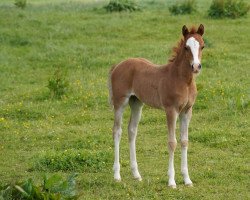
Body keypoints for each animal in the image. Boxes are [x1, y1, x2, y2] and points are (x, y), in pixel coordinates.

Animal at [109, 24, 205, 188]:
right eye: (186, 47)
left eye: (202, 46)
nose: (196, 66)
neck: (182, 80)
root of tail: (118, 65)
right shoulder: (171, 110)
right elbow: (172, 142)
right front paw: (171, 181)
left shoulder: (187, 111)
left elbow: (184, 141)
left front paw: (187, 179)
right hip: (120, 102)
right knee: (117, 131)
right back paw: (116, 175)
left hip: (136, 103)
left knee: (132, 130)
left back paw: (136, 174)